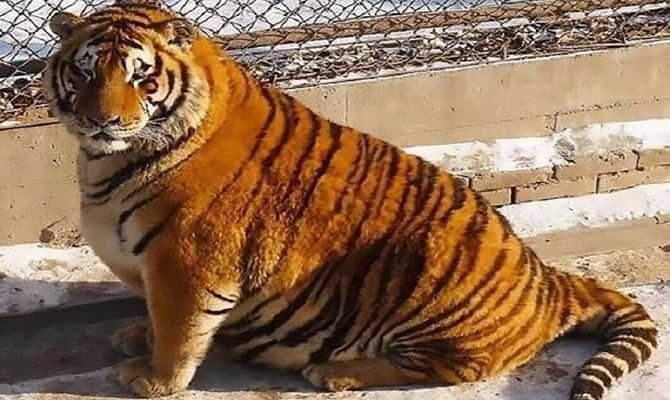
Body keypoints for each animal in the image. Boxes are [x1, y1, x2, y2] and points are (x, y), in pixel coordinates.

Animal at [43, 1, 658, 399]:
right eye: (84, 71)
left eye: (141, 79)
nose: (102, 121)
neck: (106, 161)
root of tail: (547, 279)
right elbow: (155, 316)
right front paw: (135, 336)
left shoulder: (188, 263)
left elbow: (178, 331)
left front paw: (153, 380)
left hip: (430, 275)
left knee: (454, 368)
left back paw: (338, 374)